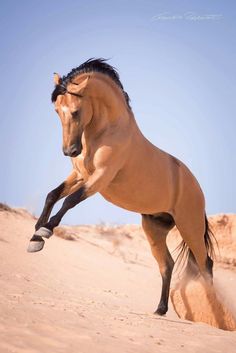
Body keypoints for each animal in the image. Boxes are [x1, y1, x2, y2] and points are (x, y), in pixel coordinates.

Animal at [27, 57, 214, 314]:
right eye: (57, 111)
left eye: (75, 111)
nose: (70, 151)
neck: (107, 131)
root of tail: (198, 189)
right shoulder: (80, 175)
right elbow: (52, 195)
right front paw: (35, 238)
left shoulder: (100, 178)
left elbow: (70, 201)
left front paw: (45, 231)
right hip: (154, 228)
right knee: (167, 264)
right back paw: (160, 309)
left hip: (190, 227)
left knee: (206, 265)